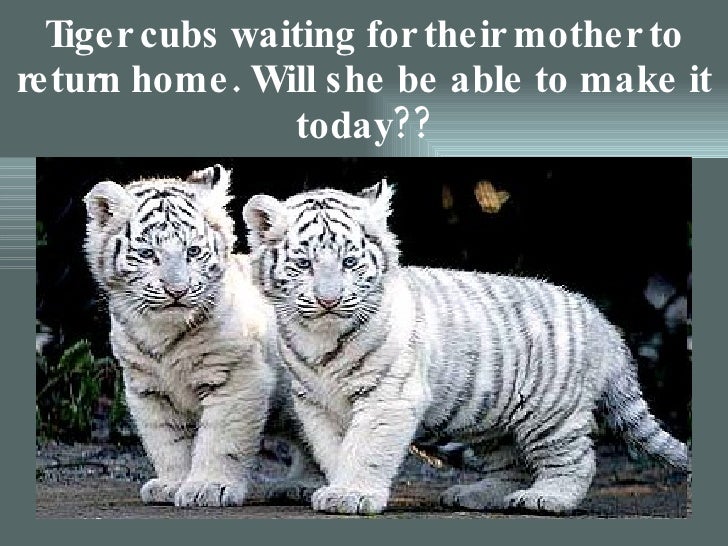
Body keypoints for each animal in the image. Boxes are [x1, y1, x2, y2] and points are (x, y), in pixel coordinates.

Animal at [83, 165, 319, 507]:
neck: (162, 332)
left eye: (193, 251)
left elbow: (220, 437)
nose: (177, 290)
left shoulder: (237, 376)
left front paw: (209, 488)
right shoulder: (147, 388)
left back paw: (303, 485)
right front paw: (171, 485)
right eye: (148, 254)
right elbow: (166, 441)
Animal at [241, 180, 690, 515]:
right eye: (304, 265)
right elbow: (333, 449)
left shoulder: (389, 397)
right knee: (510, 462)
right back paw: (476, 495)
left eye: (350, 263)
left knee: (576, 459)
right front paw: (336, 487)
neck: (320, 337)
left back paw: (547, 498)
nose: (329, 300)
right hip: (493, 418)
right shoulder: (315, 403)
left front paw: (353, 493)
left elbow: (366, 447)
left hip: (551, 413)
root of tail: (600, 320)